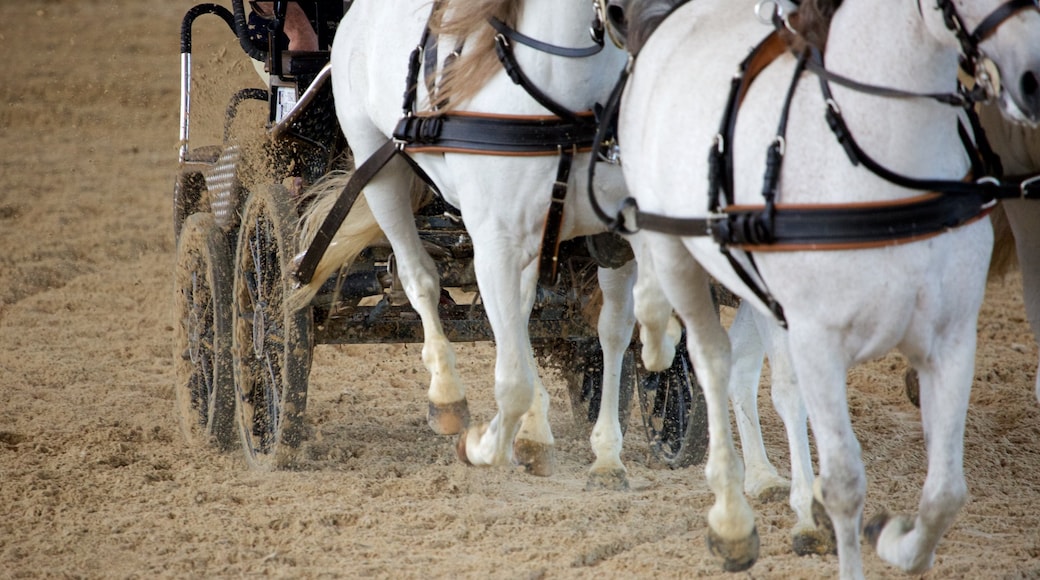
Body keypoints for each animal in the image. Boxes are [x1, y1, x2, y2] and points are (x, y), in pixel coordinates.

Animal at [289, 0, 636, 490]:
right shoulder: (496, 240)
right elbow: (511, 380)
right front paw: (479, 446)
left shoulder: (619, 239)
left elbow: (613, 332)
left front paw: (607, 458)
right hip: (378, 168)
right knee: (419, 278)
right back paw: (448, 398)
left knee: (520, 318)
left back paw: (533, 431)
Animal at [611, 1, 1040, 580]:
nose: (1034, 80)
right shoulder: (818, 339)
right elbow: (843, 483)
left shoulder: (951, 340)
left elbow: (945, 491)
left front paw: (895, 540)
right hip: (678, 252)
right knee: (707, 356)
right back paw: (729, 511)